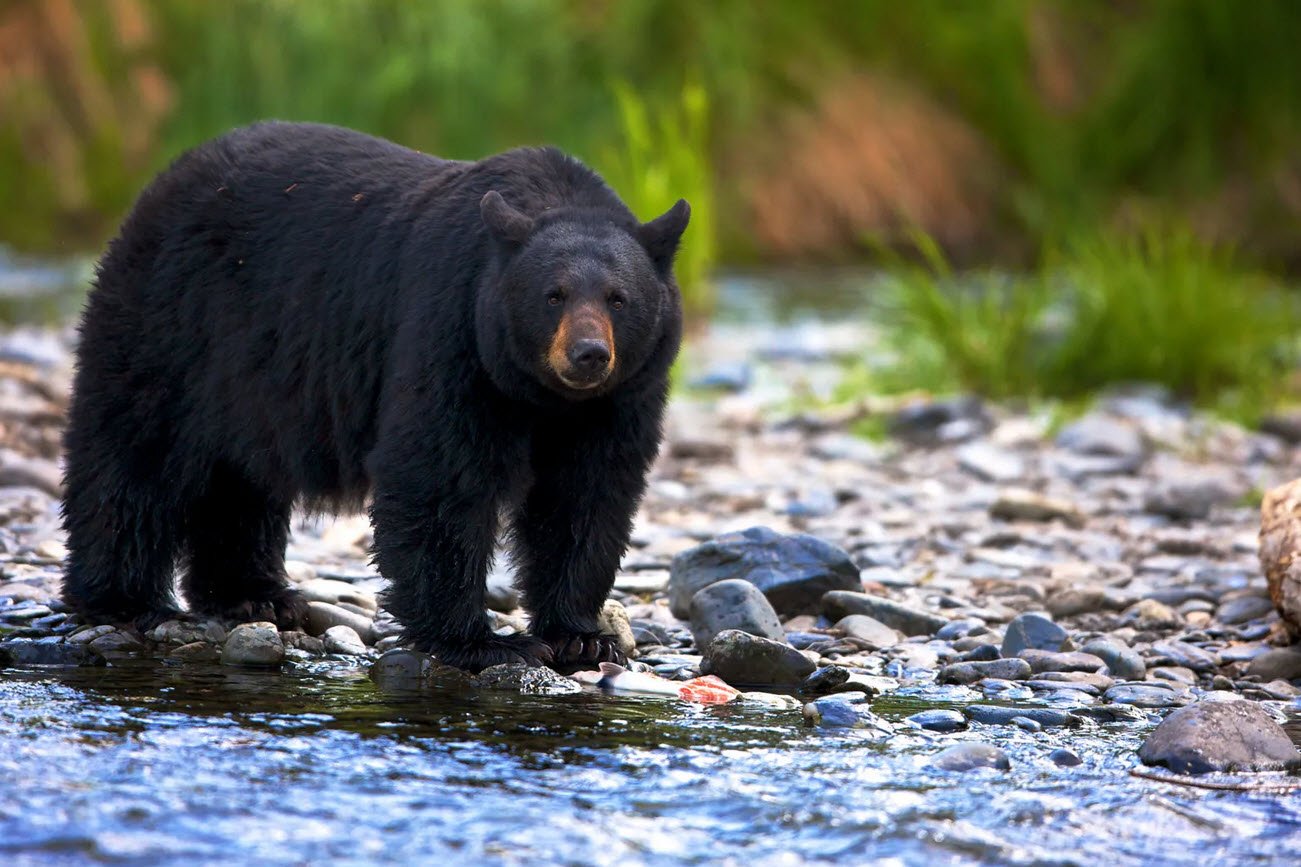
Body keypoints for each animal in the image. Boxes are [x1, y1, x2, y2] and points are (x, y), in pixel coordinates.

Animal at [61, 119, 692, 666]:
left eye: (618, 298)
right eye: (553, 295)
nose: (588, 354)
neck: (542, 396)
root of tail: (164, 181)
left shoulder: (618, 399)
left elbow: (586, 495)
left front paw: (580, 635)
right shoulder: (451, 331)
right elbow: (441, 475)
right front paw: (480, 641)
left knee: (239, 479)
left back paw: (255, 595)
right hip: (172, 322)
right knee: (135, 455)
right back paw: (123, 599)